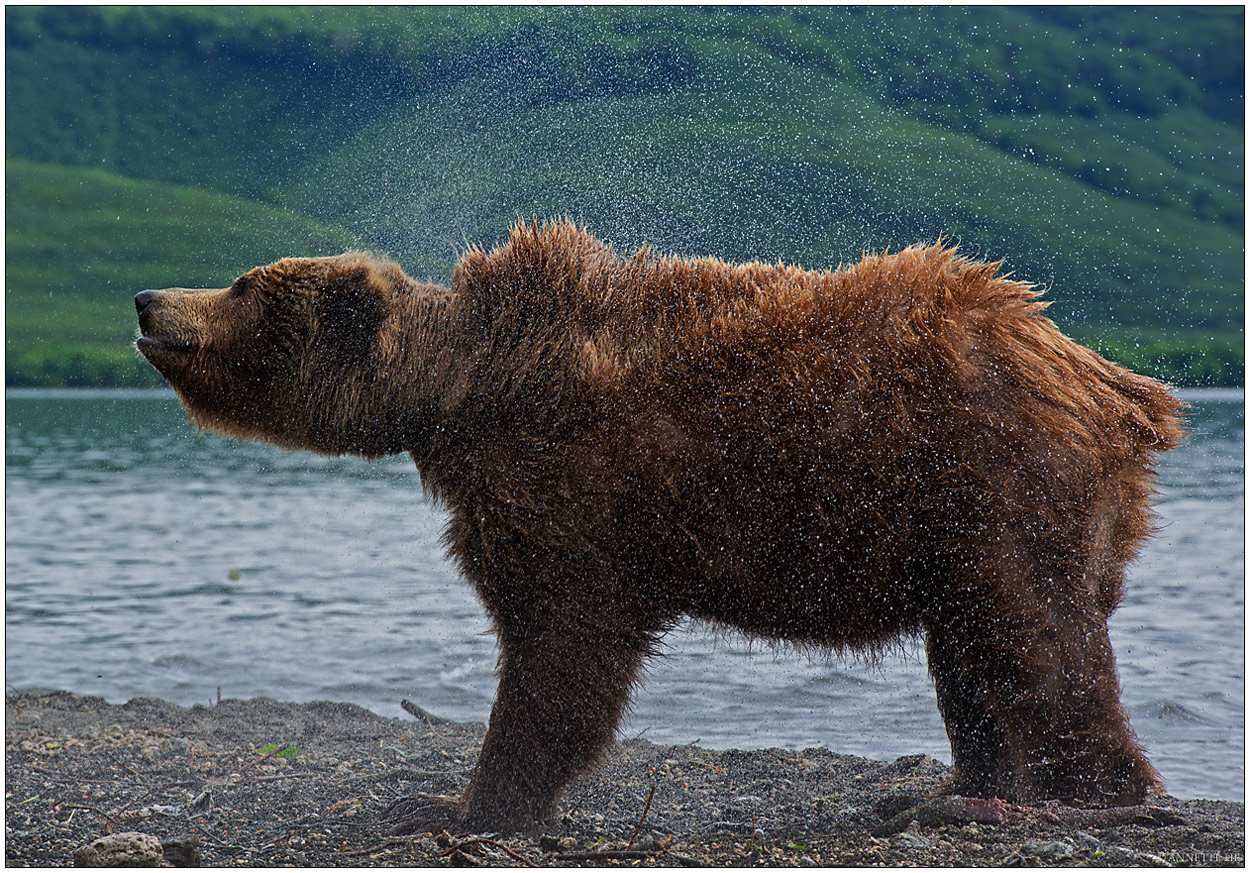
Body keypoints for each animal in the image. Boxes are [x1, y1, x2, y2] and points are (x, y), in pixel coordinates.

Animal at [136, 217, 1180, 830]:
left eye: (242, 281)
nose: (149, 296)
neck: (457, 389)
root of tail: (1115, 385)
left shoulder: (569, 487)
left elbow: (561, 646)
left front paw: (462, 800)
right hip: (957, 520)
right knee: (972, 647)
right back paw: (956, 789)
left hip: (989, 480)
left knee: (1035, 638)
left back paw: (1099, 794)